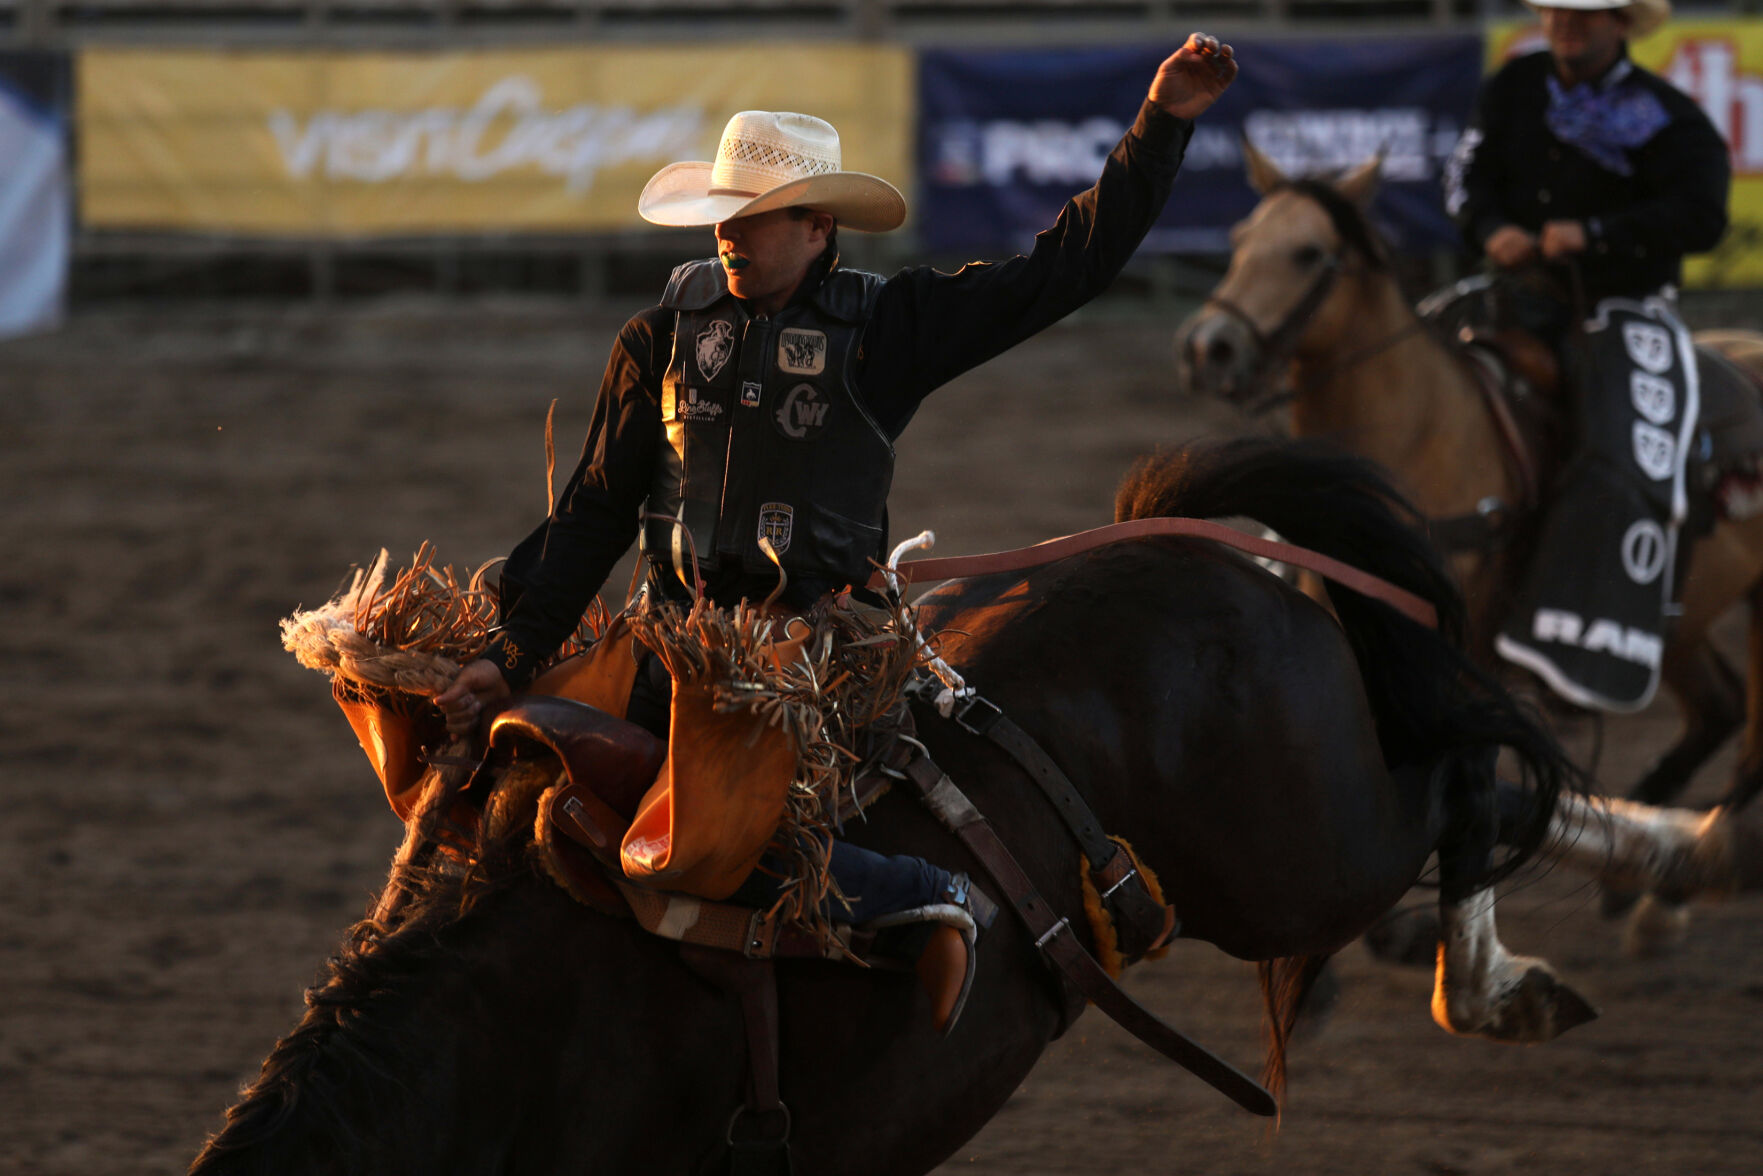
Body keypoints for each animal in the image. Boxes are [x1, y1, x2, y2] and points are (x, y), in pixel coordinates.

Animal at [1177, 144, 1763, 945]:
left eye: (1309, 254)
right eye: (1238, 242)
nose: (1210, 347)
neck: (1419, 436)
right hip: (1681, 625)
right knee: (1720, 709)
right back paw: (1648, 883)